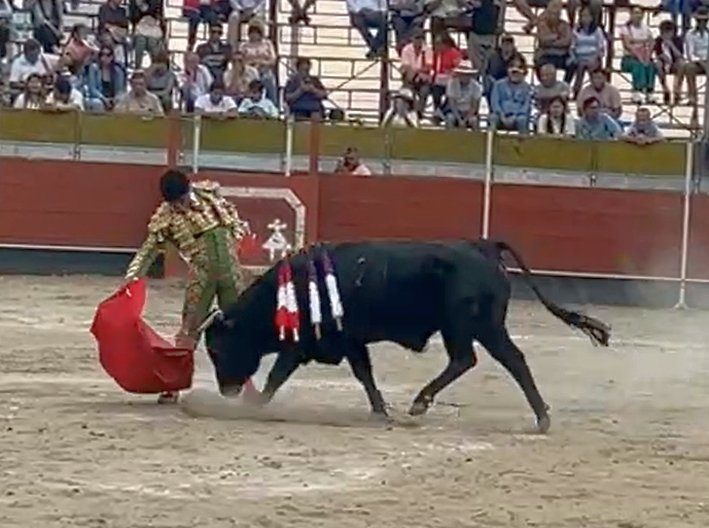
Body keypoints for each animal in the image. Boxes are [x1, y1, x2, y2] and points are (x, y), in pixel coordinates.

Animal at [203, 240, 611, 433]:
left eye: (219, 350)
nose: (228, 391)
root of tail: (482, 245)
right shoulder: (351, 342)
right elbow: (364, 374)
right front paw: (379, 410)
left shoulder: (301, 344)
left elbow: (277, 373)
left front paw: (254, 405)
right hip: (479, 327)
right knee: (498, 360)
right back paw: (540, 417)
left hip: (469, 325)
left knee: (479, 359)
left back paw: (422, 402)